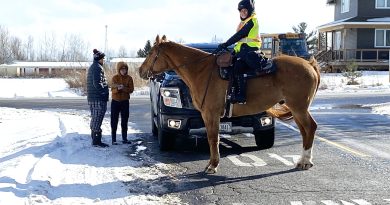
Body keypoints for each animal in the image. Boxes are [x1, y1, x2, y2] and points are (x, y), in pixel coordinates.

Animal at [139, 34, 320, 173]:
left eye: (151, 52)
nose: (141, 71)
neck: (201, 71)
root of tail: (309, 65)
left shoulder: (210, 113)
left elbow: (213, 138)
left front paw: (212, 166)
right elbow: (213, 137)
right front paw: (211, 163)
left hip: (299, 108)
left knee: (310, 127)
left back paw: (306, 162)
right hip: (296, 109)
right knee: (305, 131)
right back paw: (303, 160)